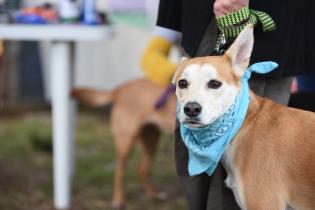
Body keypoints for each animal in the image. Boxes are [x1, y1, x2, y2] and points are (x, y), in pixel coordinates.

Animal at [71, 78, 178, 208]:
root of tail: (119, 89)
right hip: (126, 142)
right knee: (119, 172)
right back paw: (118, 200)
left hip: (151, 138)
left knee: (142, 169)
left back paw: (153, 194)